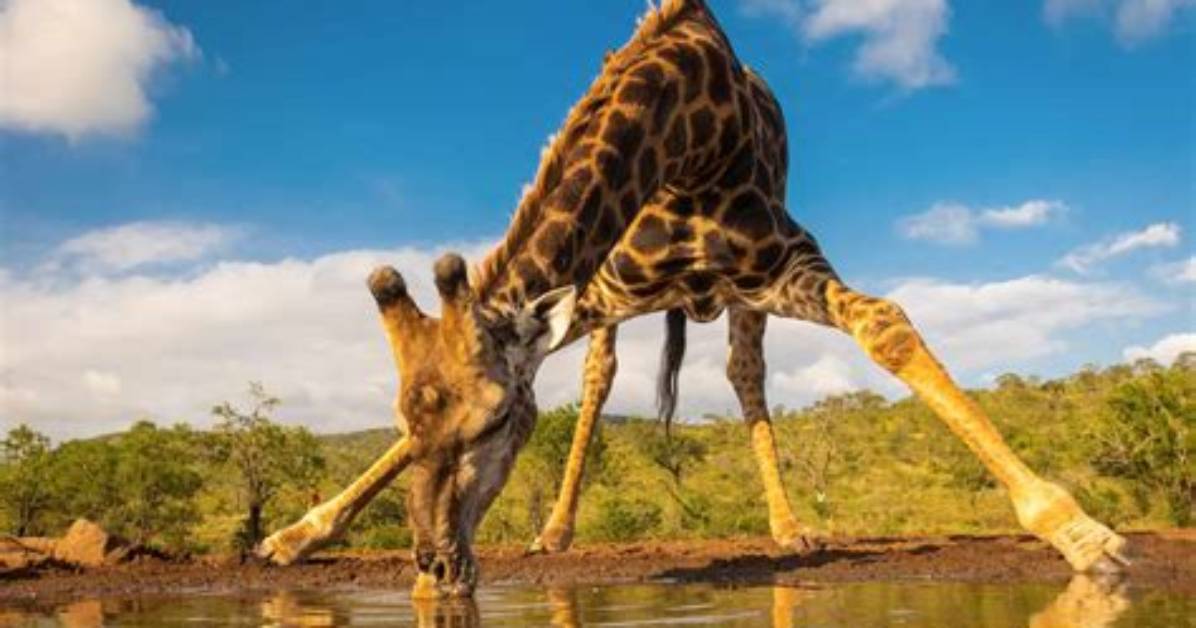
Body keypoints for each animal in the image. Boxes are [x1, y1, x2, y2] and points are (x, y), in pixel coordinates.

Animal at [259, 0, 1129, 598]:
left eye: (497, 422)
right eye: (407, 420)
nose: (436, 563)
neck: (686, 142)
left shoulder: (784, 261)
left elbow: (885, 326)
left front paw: (1081, 532)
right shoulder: (594, 294)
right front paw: (295, 536)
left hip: (744, 299)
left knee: (747, 373)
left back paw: (789, 528)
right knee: (600, 381)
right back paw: (553, 530)